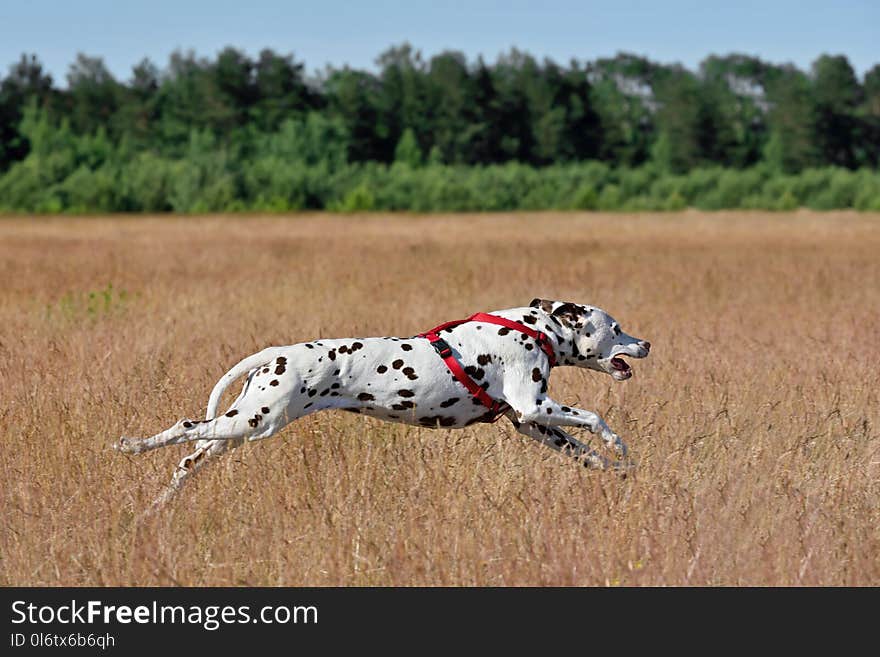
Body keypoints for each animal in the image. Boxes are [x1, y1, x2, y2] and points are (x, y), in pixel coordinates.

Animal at [115, 300, 648, 504]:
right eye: (617, 327)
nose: (646, 344)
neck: (534, 329)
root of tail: (276, 354)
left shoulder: (532, 423)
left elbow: (585, 452)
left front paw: (619, 468)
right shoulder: (536, 407)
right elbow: (596, 418)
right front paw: (618, 445)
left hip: (242, 425)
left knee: (189, 457)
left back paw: (161, 502)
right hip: (253, 421)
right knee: (184, 428)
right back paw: (130, 446)